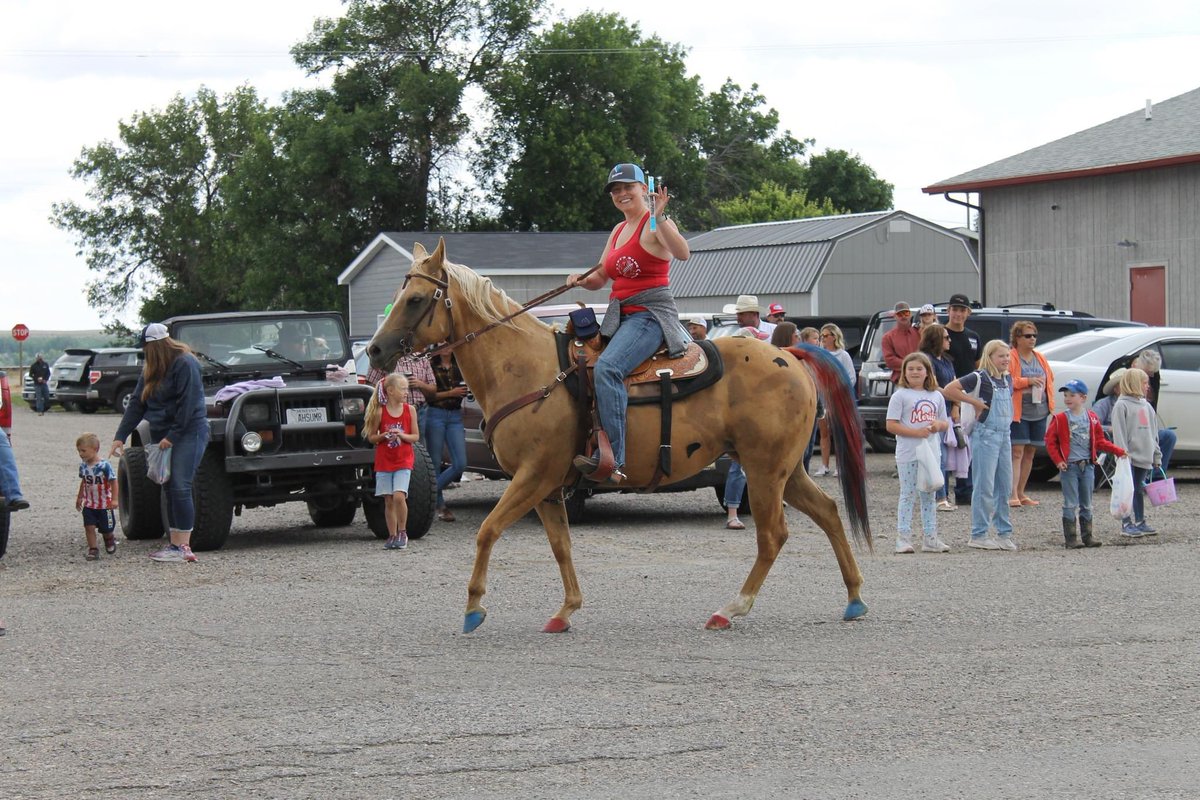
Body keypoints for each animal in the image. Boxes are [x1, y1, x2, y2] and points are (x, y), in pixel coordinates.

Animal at [368, 240, 872, 633]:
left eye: (415, 299)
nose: (374, 349)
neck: (527, 369)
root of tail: (790, 353)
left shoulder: (532, 476)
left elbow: (488, 530)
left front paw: (474, 608)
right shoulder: (548, 487)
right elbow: (560, 545)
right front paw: (566, 610)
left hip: (765, 470)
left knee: (773, 535)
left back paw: (731, 609)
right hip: (784, 470)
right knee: (828, 513)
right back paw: (854, 598)